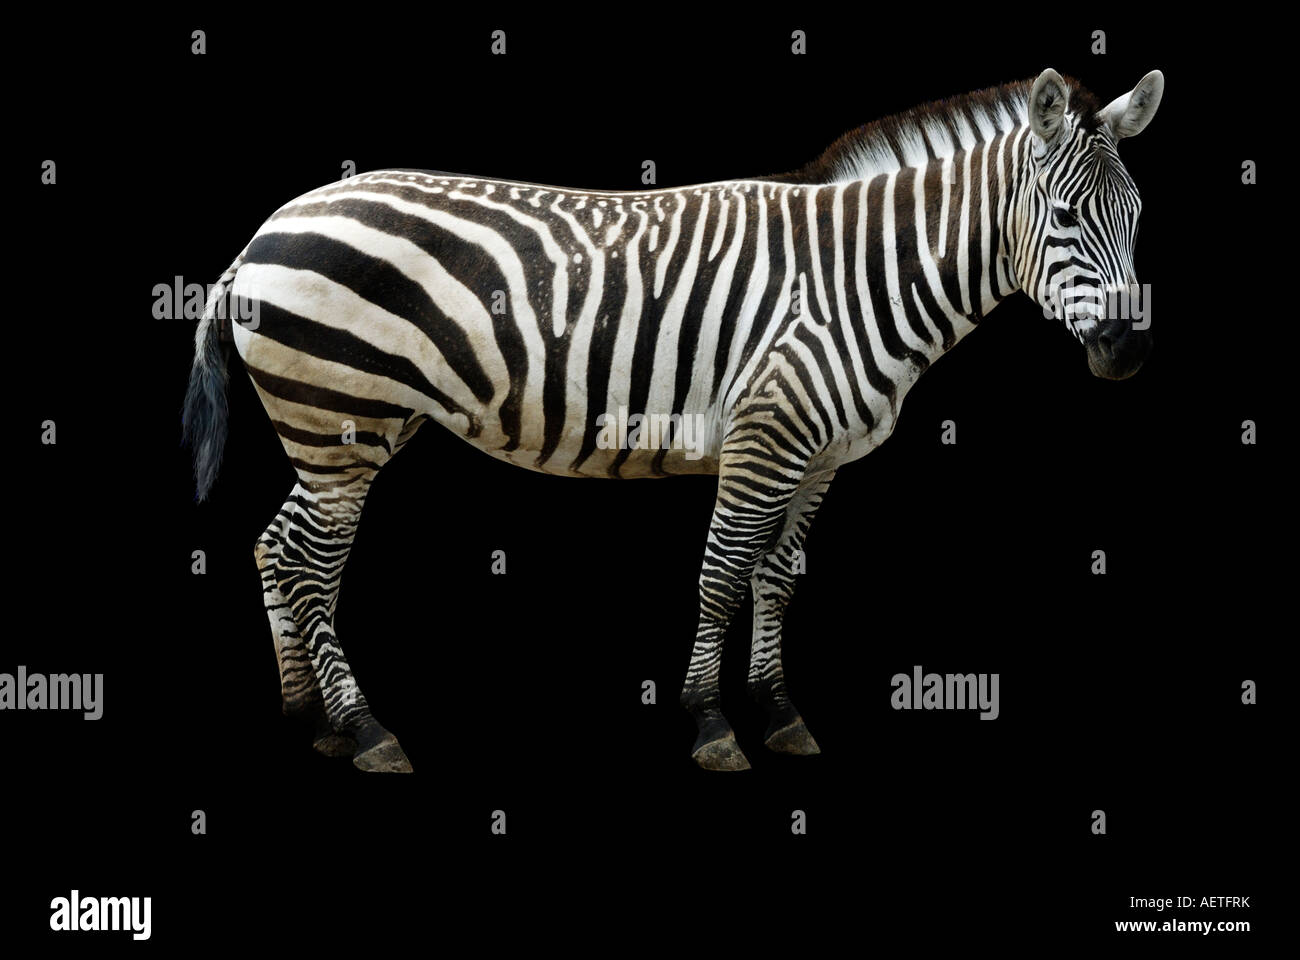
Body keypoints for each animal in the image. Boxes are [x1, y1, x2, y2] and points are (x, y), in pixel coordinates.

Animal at [183, 67, 1163, 773]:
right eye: (1067, 217)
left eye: (1140, 217)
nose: (1124, 352)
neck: (859, 280)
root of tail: (263, 232)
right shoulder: (767, 436)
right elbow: (724, 574)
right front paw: (710, 725)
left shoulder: (820, 458)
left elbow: (778, 578)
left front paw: (779, 712)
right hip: (338, 417)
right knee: (311, 565)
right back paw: (366, 729)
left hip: (345, 427)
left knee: (278, 547)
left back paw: (309, 719)